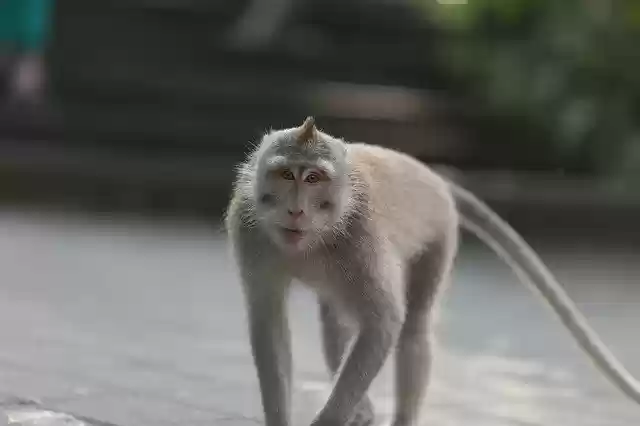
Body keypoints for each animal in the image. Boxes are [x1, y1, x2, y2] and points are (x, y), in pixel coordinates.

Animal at [224, 117, 640, 426]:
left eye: (313, 178)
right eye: (285, 175)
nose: (296, 210)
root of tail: (436, 177)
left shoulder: (361, 240)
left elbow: (384, 323)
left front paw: (329, 420)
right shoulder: (248, 229)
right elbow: (269, 325)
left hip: (439, 236)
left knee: (413, 328)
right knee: (337, 320)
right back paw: (363, 408)